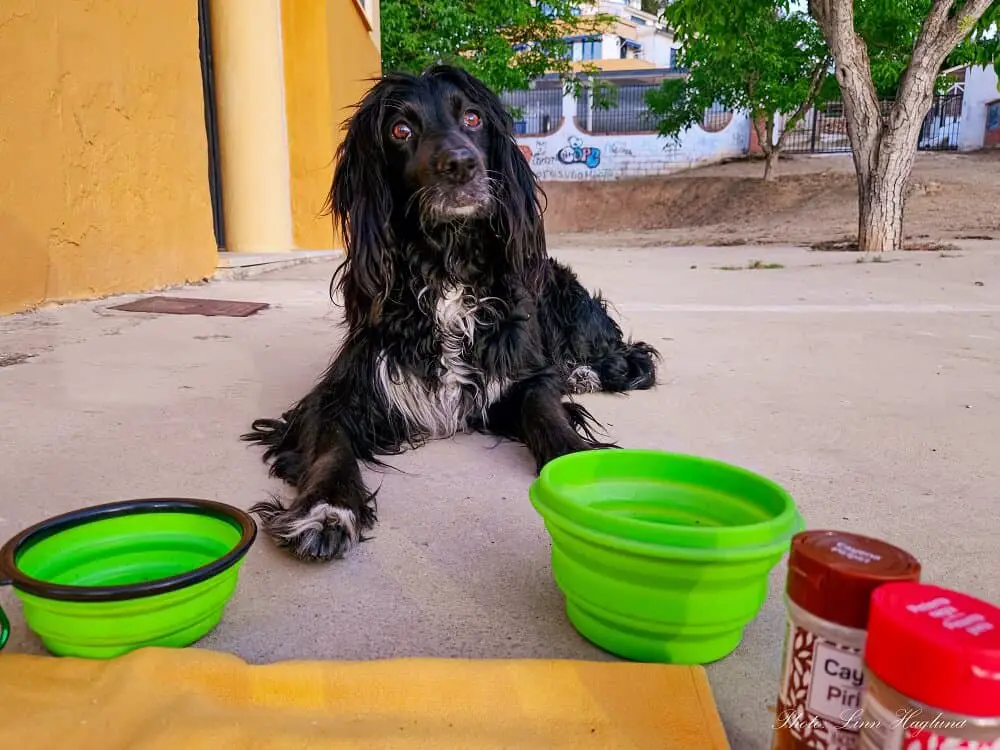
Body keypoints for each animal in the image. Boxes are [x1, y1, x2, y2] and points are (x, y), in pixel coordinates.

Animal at [243, 64, 660, 560]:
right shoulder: (342, 391)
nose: (461, 164)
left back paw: (586, 372)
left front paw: (576, 461)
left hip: (571, 304)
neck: (447, 267)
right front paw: (327, 509)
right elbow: (331, 447)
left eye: (473, 118)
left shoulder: (522, 373)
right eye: (400, 130)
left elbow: (546, 409)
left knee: (631, 356)